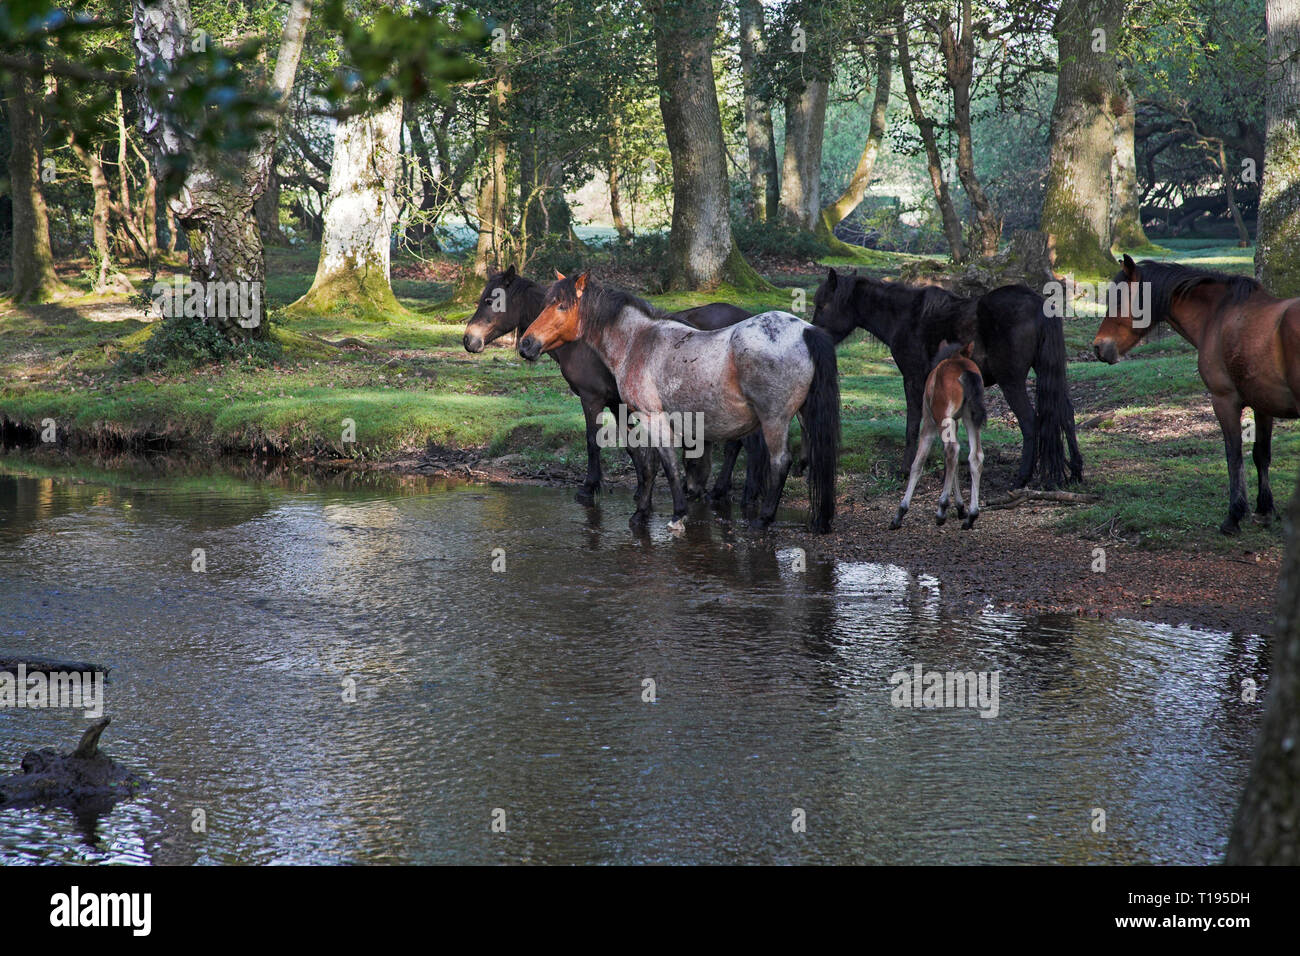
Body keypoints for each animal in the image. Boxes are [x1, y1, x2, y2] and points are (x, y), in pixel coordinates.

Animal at [462, 265, 759, 509]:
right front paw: (641, 489)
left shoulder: (592, 398)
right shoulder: (618, 403)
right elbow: (632, 446)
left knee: (744, 445)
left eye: (490, 300)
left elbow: (593, 442)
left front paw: (590, 487)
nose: (469, 340)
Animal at [517, 273, 842, 535]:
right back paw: (819, 520)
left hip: (774, 420)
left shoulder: (652, 417)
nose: (526, 344)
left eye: (561, 305)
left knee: (780, 461)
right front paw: (646, 509)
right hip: (801, 416)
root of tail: (806, 330)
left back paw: (762, 520)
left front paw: (669, 514)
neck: (637, 342)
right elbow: (650, 462)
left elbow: (665, 465)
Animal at [811, 270, 1076, 489]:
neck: (905, 317)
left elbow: (912, 425)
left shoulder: (913, 380)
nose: (813, 336)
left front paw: (906, 469)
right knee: (1066, 415)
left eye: (822, 305)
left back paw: (1022, 478)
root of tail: (1039, 304)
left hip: (1011, 382)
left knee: (1030, 422)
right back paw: (1075, 472)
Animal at [894, 340, 982, 535]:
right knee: (974, 456)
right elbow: (953, 464)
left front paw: (901, 511)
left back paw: (941, 509)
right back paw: (971, 515)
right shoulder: (954, 421)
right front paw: (961, 507)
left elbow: (917, 463)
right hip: (970, 418)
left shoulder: (928, 422)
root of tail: (963, 368)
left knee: (953, 450)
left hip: (940, 419)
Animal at [1097, 254, 1300, 535]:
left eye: (1117, 299)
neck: (1218, 316)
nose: (1098, 347)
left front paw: (1234, 516)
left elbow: (1234, 455)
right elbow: (1261, 455)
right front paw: (1264, 510)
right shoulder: (1263, 405)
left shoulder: (1224, 400)